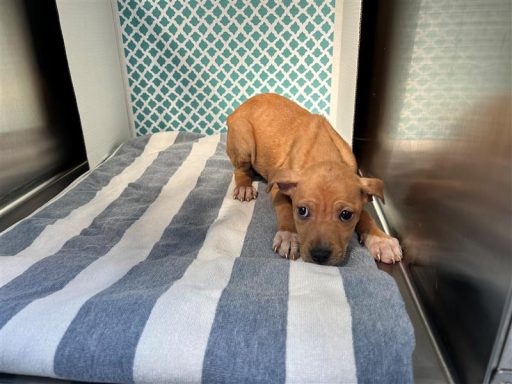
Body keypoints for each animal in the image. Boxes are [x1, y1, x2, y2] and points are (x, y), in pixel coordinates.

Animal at [226, 94, 402, 266]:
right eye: (302, 211)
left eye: (346, 215)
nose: (320, 255)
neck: (324, 154)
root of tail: (238, 109)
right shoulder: (278, 185)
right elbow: (285, 208)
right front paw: (288, 236)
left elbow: (366, 214)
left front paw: (381, 240)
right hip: (244, 139)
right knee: (240, 170)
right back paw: (244, 187)